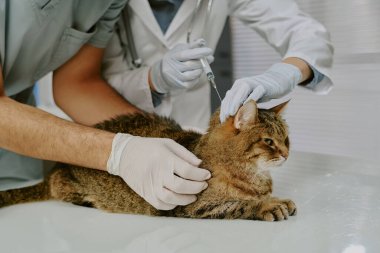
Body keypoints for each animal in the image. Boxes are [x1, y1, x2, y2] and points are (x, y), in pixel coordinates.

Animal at [0, 101, 296, 221]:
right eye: (269, 141)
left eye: (286, 139)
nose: (286, 153)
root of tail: (54, 169)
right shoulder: (195, 206)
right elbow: (242, 204)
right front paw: (270, 205)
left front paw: (275, 198)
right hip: (68, 185)